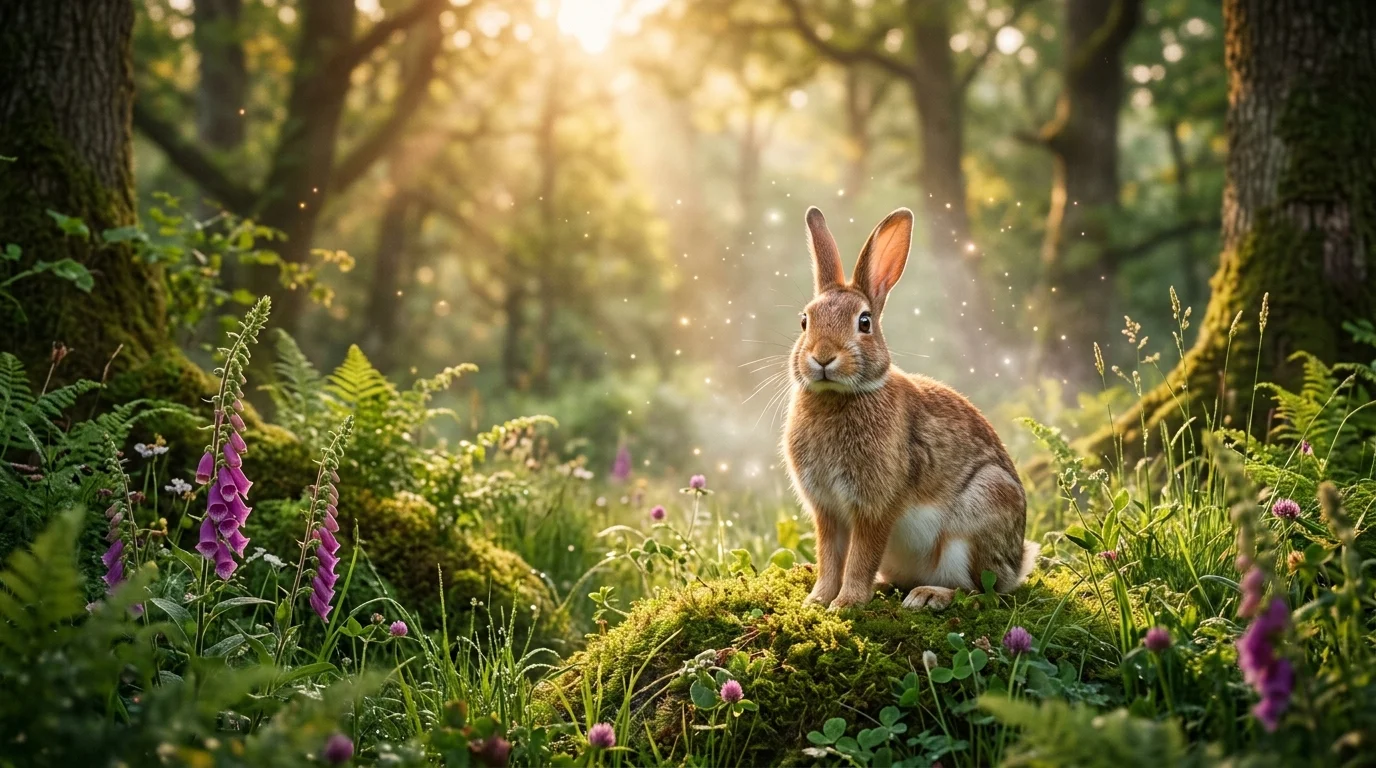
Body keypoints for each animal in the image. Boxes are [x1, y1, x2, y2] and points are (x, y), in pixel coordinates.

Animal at [782, 206, 1039, 612]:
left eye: (865, 322)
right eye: (804, 321)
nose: (822, 357)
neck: (838, 396)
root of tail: (1019, 562)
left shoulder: (874, 507)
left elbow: (861, 557)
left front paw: (846, 603)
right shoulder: (827, 511)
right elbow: (830, 557)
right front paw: (817, 600)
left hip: (979, 516)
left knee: (983, 591)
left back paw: (928, 596)